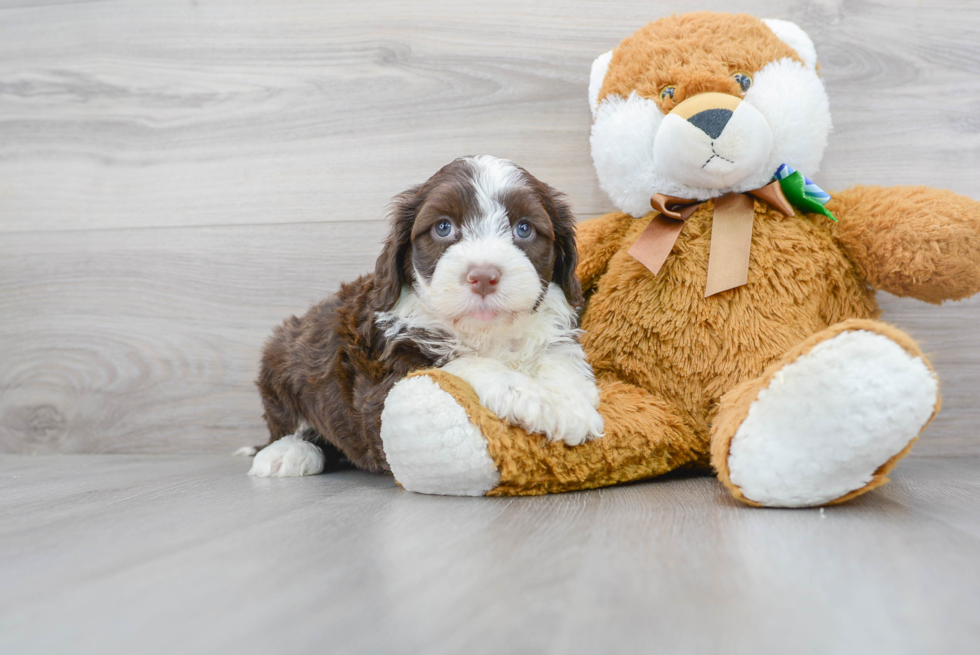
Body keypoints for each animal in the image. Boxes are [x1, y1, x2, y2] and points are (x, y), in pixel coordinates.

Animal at [249, 156, 600, 480]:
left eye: (524, 229)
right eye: (443, 228)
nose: (483, 276)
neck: (485, 332)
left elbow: (559, 360)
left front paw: (571, 404)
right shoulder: (383, 380)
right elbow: (455, 364)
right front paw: (530, 397)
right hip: (284, 354)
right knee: (286, 424)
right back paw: (286, 453)